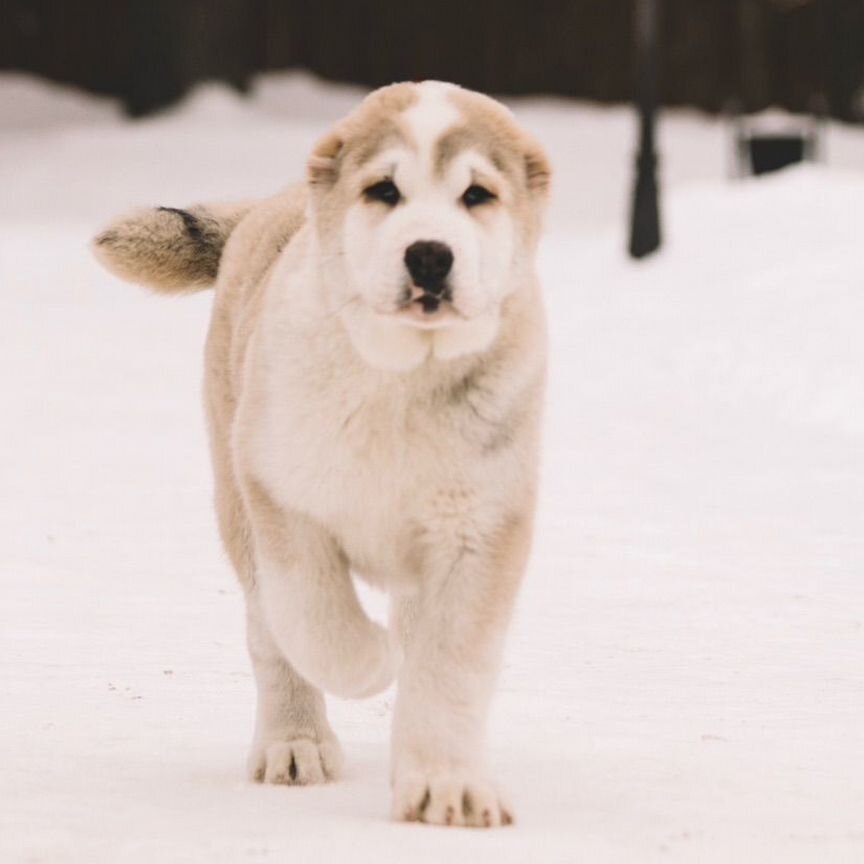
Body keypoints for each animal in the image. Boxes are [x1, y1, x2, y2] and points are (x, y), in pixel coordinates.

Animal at [93, 82, 548, 832]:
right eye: (384, 190)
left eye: (477, 195)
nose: (430, 255)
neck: (399, 379)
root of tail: (269, 204)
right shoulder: (282, 498)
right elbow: (316, 621)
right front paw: (374, 659)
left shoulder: (478, 528)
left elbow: (450, 668)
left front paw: (447, 786)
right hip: (237, 500)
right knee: (271, 635)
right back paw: (296, 744)